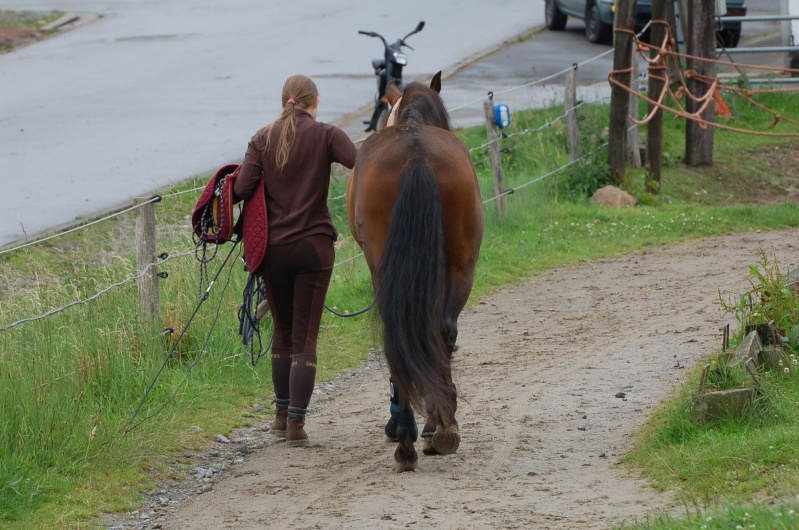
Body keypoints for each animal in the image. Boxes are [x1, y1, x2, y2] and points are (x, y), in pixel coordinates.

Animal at [342, 71, 482, 470]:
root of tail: (416, 152)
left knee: (397, 337)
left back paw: (406, 437)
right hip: (462, 264)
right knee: (443, 331)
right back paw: (443, 427)